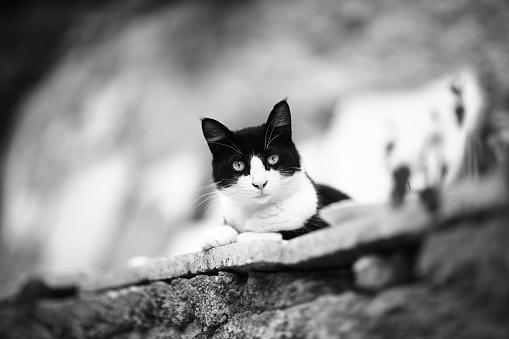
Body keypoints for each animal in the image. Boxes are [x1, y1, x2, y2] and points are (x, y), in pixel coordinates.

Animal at [198, 99, 350, 251]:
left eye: (273, 158)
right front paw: (217, 233)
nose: (260, 183)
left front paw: (245, 235)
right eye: (238, 165)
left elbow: (283, 233)